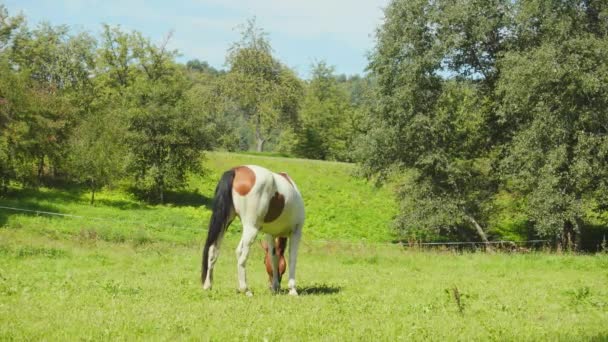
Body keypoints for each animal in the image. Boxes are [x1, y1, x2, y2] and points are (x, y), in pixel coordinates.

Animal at [201, 164, 304, 296]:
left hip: (225, 222)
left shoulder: (270, 235)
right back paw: (245, 289)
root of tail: (236, 170)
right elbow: (292, 258)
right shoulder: (296, 232)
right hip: (251, 228)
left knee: (213, 250)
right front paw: (292, 289)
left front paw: (275, 286)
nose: (270, 286)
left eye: (264, 262)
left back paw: (208, 285)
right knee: (241, 253)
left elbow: (274, 257)